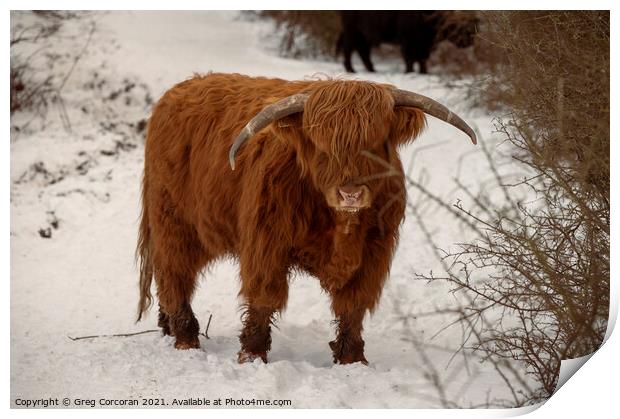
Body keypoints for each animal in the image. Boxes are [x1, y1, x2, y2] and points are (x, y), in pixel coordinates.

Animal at [136, 74, 474, 366]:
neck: (339, 225)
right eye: (322, 146)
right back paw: (185, 337)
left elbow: (353, 304)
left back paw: (168, 326)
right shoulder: (266, 242)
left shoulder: (373, 252)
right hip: (173, 221)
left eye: (376, 143)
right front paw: (252, 355)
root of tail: (178, 91)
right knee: (174, 272)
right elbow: (264, 297)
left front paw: (352, 358)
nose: (350, 193)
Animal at [340, 11, 480, 74]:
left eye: (473, 24)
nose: (470, 40)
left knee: (363, 51)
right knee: (349, 48)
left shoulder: (424, 45)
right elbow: (410, 59)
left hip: (364, 35)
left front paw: (423, 72)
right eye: (459, 25)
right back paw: (351, 69)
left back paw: (372, 69)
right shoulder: (408, 42)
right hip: (352, 31)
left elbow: (422, 60)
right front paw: (409, 72)